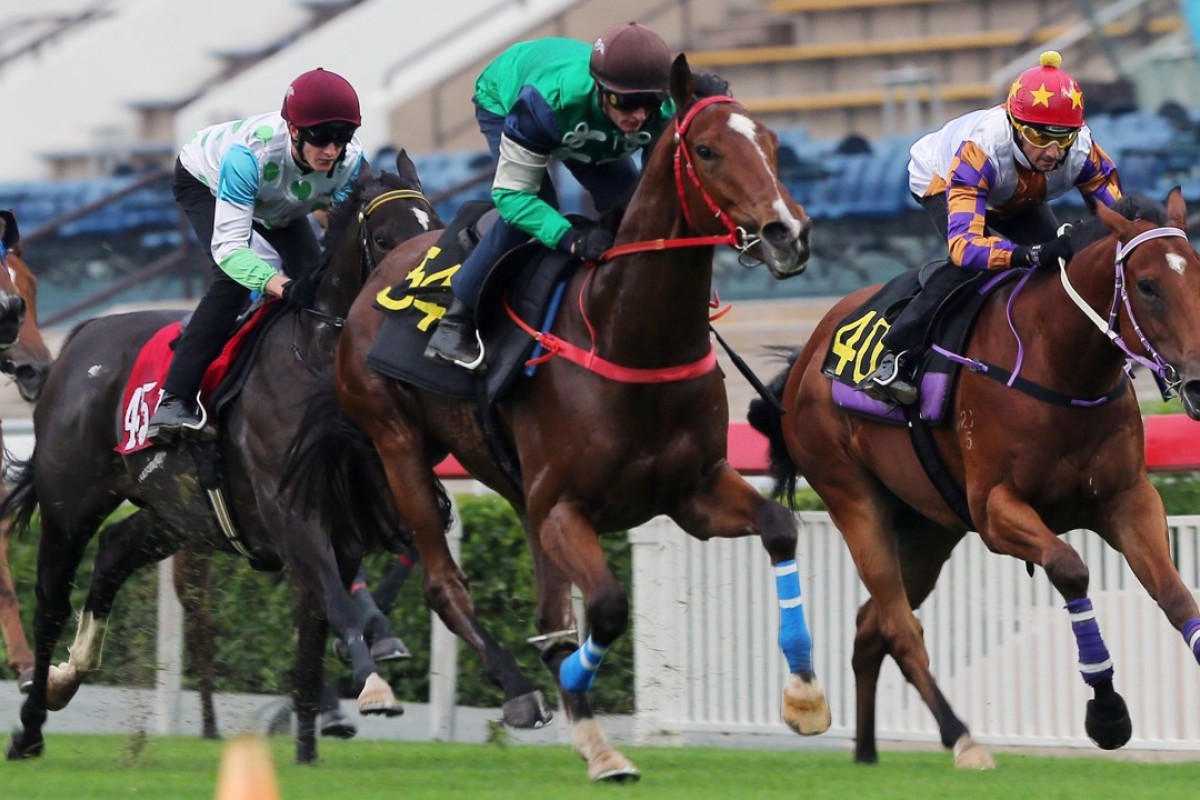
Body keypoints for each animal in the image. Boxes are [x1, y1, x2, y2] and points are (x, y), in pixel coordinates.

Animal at [3, 153, 441, 767]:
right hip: (71, 504)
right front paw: (373, 688)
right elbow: (337, 603)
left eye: (435, 228)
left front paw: (309, 747)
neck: (315, 363)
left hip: (176, 515)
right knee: (50, 604)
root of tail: (79, 340)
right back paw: (31, 723)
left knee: (113, 552)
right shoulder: (291, 516)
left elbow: (318, 630)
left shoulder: (346, 522)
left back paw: (68, 678)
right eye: (383, 238)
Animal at [304, 57, 830, 782]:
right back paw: (521, 693)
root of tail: (377, 272)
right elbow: (605, 608)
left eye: (774, 143)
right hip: (398, 443)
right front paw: (588, 713)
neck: (626, 335)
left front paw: (805, 695)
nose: (788, 234)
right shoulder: (564, 507)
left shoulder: (692, 491)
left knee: (545, 608)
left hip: (507, 480)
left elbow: (780, 528)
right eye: (707, 150)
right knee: (444, 583)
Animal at [753, 189, 1200, 767]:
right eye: (1147, 285)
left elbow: (1175, 594)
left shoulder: (1129, 498)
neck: (1060, 363)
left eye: (1198, 274)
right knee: (899, 626)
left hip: (928, 528)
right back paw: (961, 738)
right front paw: (1107, 713)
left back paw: (867, 753)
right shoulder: (994, 510)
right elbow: (1070, 567)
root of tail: (806, 357)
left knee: (870, 627)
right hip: (851, 497)